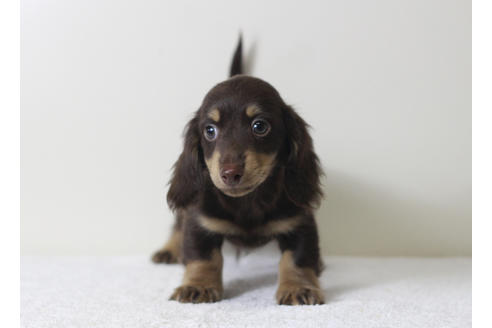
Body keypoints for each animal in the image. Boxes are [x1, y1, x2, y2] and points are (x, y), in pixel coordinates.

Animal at [152, 37, 324, 304]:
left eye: (260, 126)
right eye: (209, 130)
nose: (230, 173)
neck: (248, 201)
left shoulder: (299, 222)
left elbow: (297, 260)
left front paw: (299, 287)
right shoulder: (199, 221)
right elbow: (203, 257)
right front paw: (198, 286)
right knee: (177, 225)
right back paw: (169, 249)